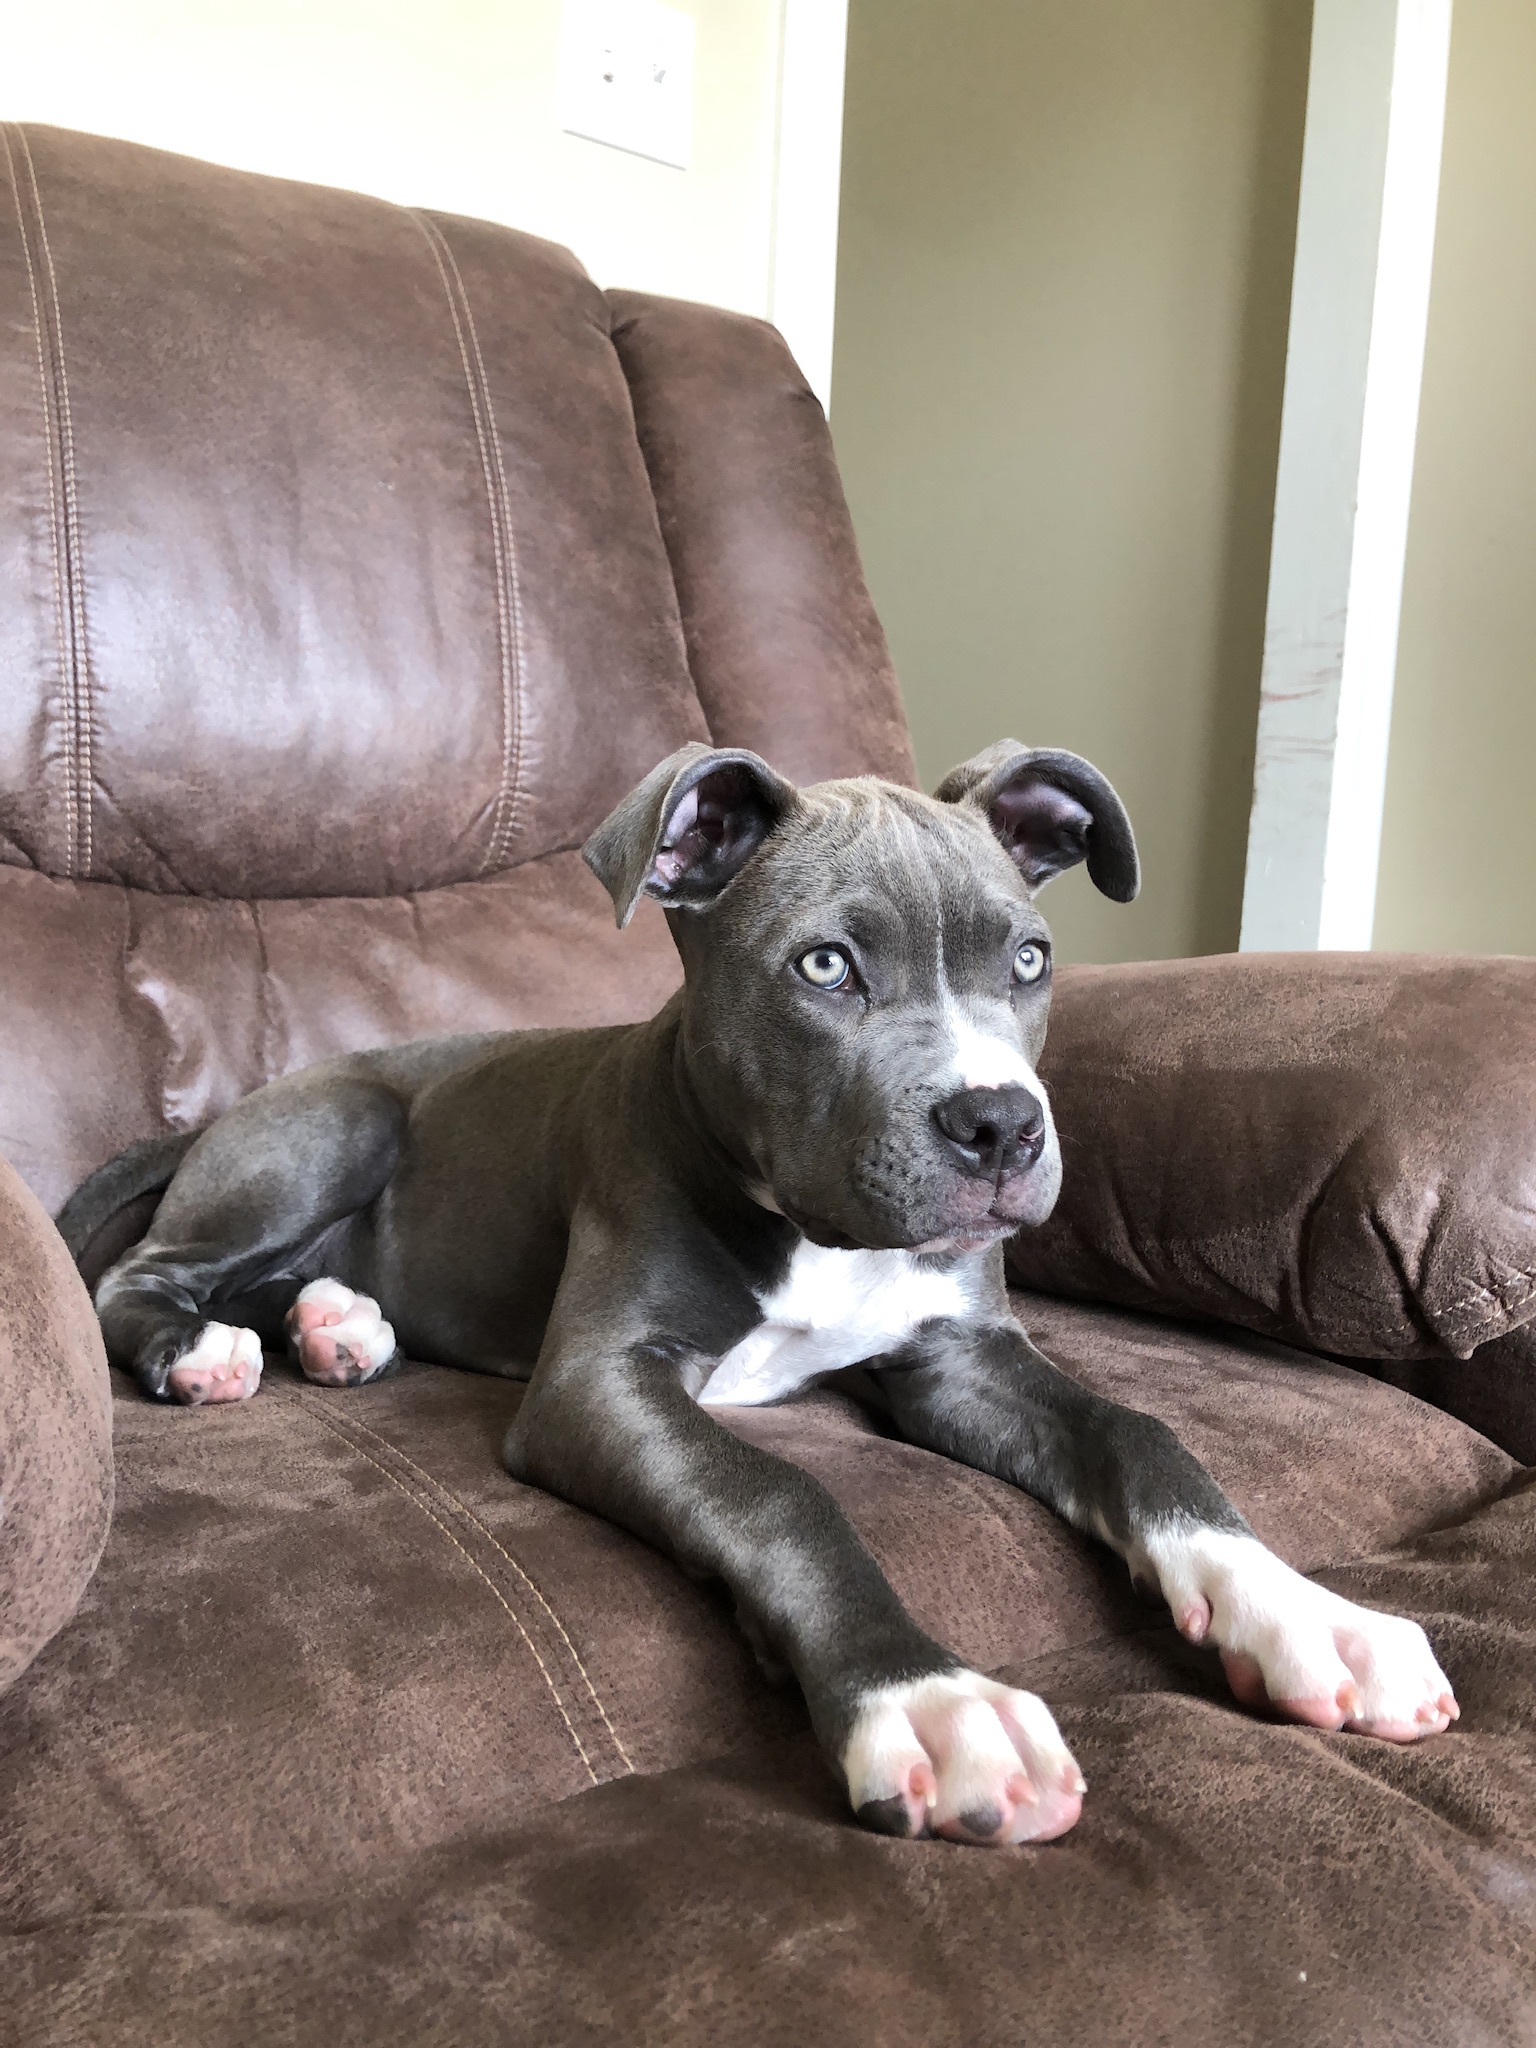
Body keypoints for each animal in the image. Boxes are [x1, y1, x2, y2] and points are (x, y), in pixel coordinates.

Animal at [61, 739, 1459, 1846]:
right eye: (826, 967)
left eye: (1029, 959)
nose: (1003, 1124)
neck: (818, 1229)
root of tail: (227, 1108)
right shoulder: (600, 1381)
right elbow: (778, 1491)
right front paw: (929, 1698)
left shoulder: (962, 1357)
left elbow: (1138, 1429)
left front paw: (1304, 1612)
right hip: (334, 1125)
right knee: (139, 1274)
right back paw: (204, 1349)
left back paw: (336, 1322)